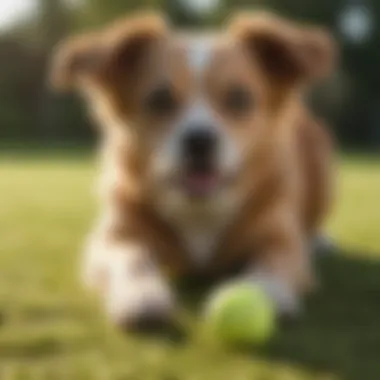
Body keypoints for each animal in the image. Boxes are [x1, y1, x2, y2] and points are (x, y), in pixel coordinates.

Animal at [51, 12, 336, 330]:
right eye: (160, 99)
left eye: (239, 98)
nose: (199, 141)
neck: (200, 210)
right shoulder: (112, 238)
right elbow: (132, 258)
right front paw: (140, 294)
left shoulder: (280, 239)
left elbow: (273, 262)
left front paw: (265, 292)